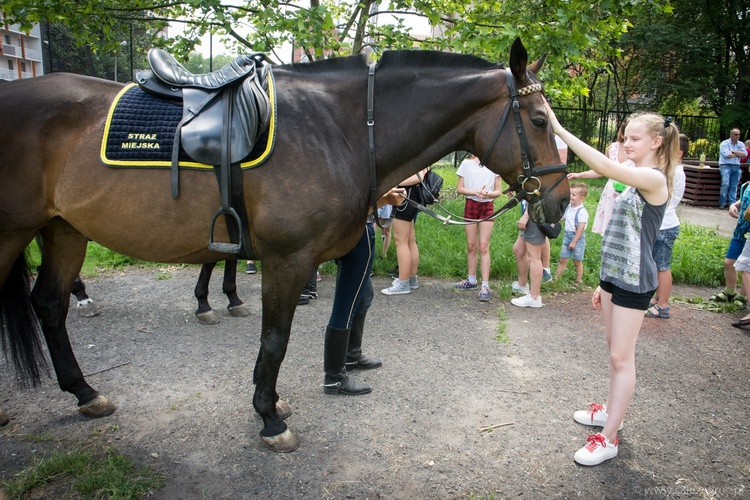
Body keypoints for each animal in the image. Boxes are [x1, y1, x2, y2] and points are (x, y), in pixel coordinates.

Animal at [0, 39, 568, 450]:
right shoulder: (286, 261)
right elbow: (275, 340)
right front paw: (270, 417)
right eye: (540, 121)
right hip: (14, 232)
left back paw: (85, 393)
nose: (560, 204)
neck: (339, 128)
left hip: (64, 229)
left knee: (49, 305)